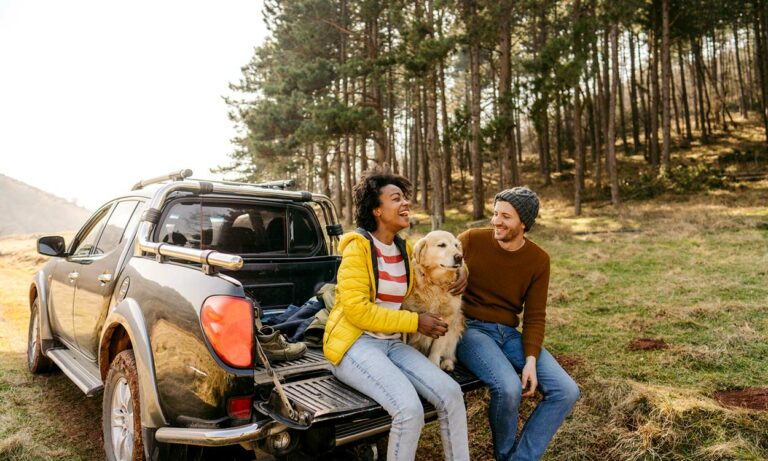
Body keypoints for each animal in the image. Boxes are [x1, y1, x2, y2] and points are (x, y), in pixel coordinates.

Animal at [404, 230, 464, 370]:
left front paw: (434, 362)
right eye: (442, 245)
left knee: (450, 352)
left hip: (456, 324)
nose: (459, 257)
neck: (435, 283)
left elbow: (437, 346)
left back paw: (448, 362)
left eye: (456, 245)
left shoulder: (447, 318)